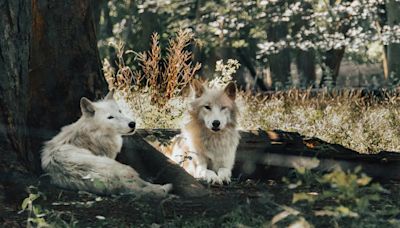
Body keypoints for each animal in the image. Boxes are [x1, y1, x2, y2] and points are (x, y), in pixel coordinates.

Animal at [41, 91, 172, 198]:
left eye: (120, 111)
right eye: (110, 117)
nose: (132, 124)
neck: (91, 134)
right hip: (127, 169)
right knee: (144, 185)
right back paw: (165, 187)